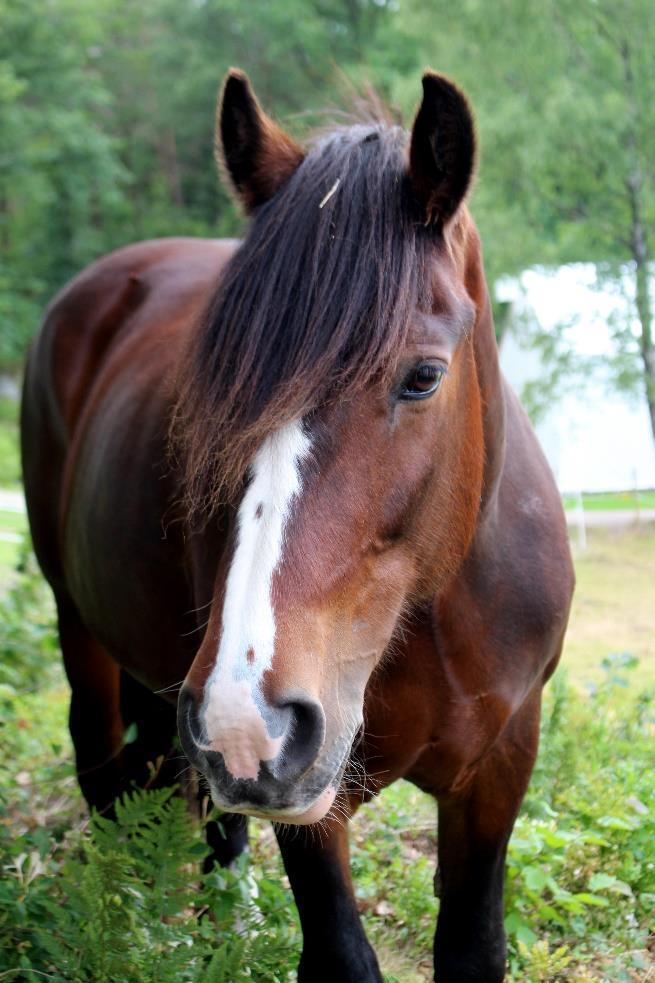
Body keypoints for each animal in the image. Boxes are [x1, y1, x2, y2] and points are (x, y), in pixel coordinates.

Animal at [19, 71, 576, 983]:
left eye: (422, 377)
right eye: (207, 392)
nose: (248, 722)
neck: (431, 611)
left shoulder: (498, 768)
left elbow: (472, 948)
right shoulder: (315, 799)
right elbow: (340, 954)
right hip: (94, 637)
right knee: (104, 774)